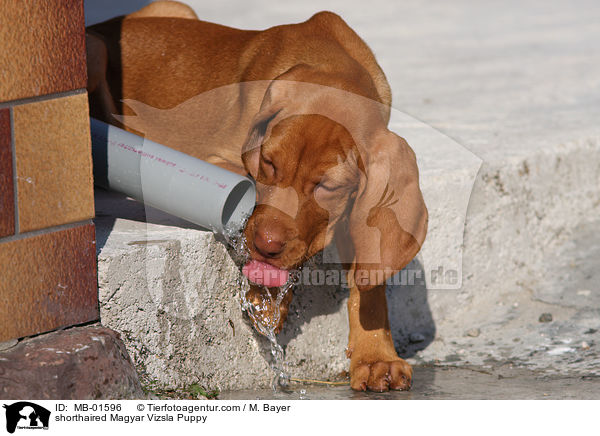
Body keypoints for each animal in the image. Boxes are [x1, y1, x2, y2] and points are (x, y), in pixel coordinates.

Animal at [88, 0, 426, 392]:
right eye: (269, 164)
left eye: (328, 187)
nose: (266, 247)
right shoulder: (217, 160)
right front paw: (262, 297)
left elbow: (370, 271)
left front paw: (376, 357)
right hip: (98, 51)